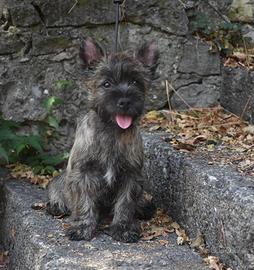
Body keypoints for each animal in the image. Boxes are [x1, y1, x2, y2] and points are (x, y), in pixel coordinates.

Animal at [46, 37, 158, 243]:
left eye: (135, 82)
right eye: (106, 84)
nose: (124, 101)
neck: (112, 133)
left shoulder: (130, 176)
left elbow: (125, 204)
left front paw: (123, 228)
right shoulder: (82, 174)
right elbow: (84, 202)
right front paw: (83, 227)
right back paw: (55, 206)